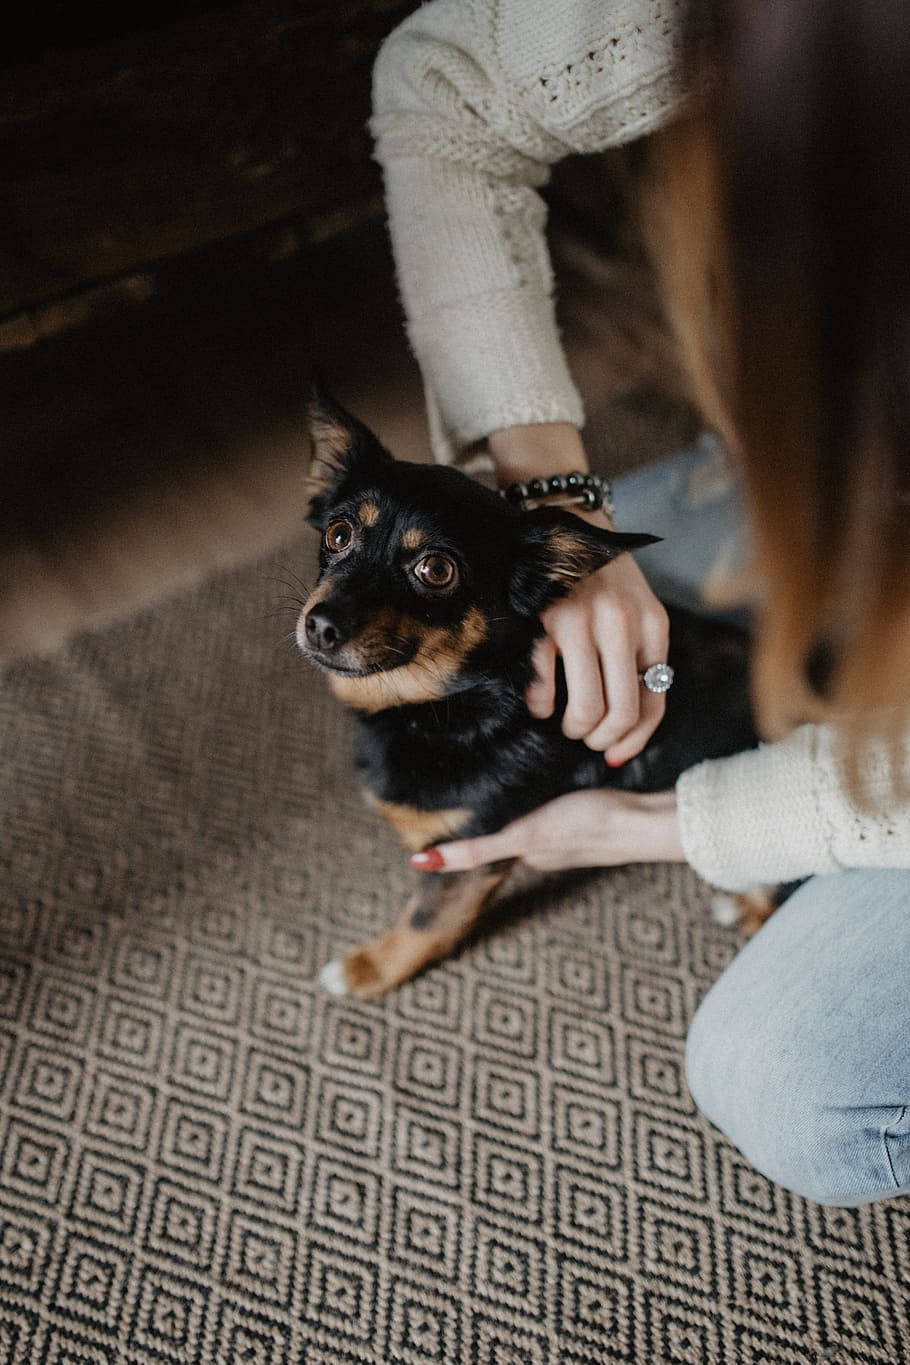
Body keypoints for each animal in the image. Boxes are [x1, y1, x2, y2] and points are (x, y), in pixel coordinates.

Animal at [300, 390, 764, 999]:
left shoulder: (466, 857)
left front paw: (368, 969)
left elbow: (426, 919)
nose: (320, 625)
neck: (450, 709)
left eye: (436, 569)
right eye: (337, 535)